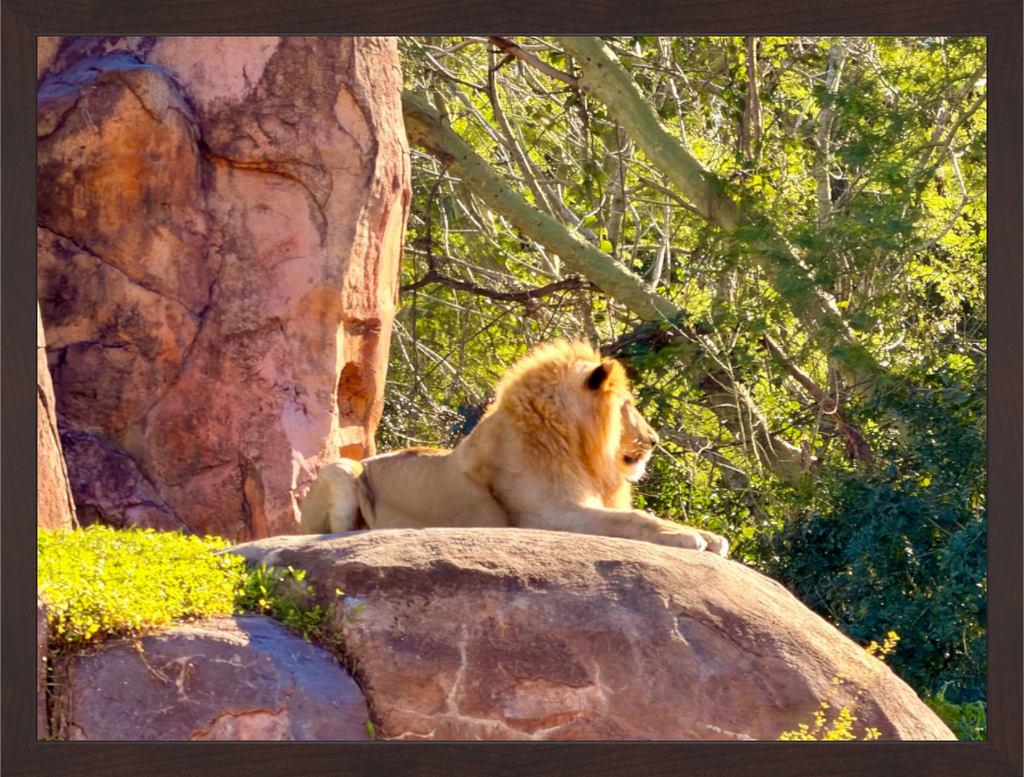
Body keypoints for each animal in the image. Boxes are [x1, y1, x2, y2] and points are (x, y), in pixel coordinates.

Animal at [299, 339, 728, 556]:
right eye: (628, 405)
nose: (654, 440)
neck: (578, 447)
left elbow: (644, 515)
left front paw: (707, 536)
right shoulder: (546, 515)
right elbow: (634, 519)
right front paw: (689, 538)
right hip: (342, 470)